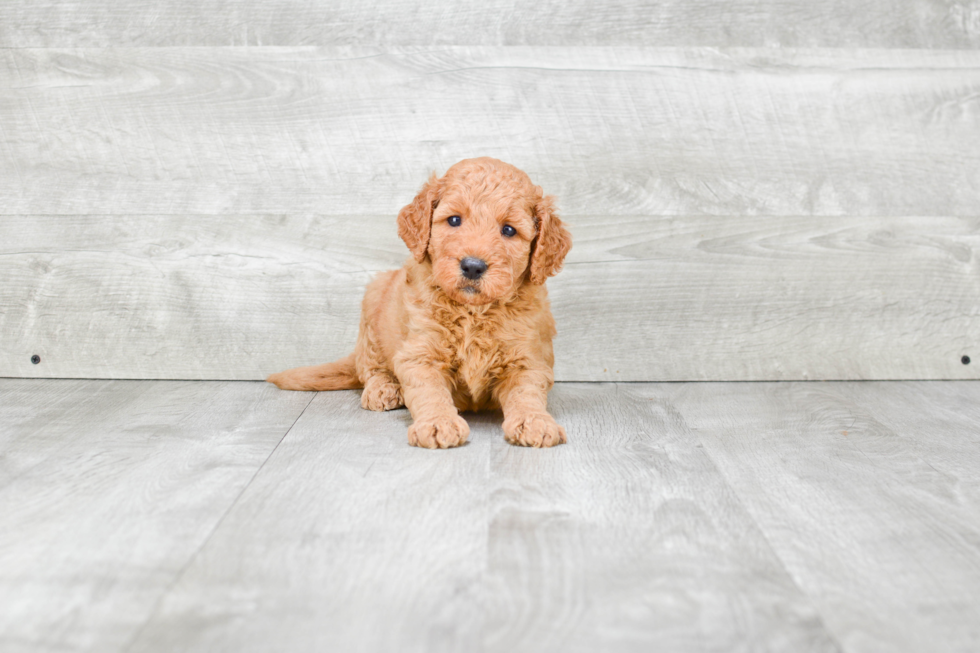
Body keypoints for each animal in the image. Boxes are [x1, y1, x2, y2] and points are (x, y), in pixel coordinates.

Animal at [268, 157, 576, 448]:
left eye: (509, 230)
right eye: (454, 220)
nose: (473, 266)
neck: (473, 312)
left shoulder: (528, 360)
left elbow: (526, 393)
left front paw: (535, 422)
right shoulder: (420, 353)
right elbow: (429, 391)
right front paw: (438, 423)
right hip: (373, 306)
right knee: (370, 367)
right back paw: (383, 389)